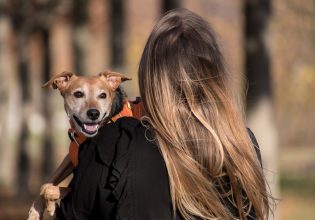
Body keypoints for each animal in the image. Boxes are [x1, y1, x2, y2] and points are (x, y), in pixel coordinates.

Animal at [26, 70, 131, 220]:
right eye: (78, 94)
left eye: (103, 95)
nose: (94, 113)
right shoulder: (70, 157)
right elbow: (46, 184)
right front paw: (35, 211)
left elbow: (51, 189)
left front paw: (52, 206)